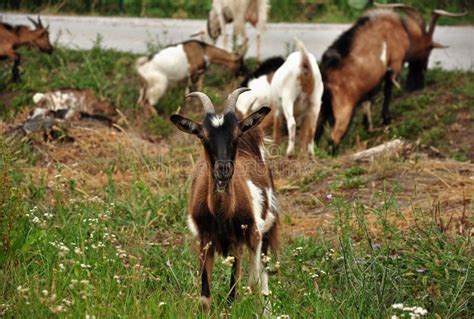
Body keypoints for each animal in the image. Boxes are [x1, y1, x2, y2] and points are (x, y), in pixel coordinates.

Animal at [169, 89, 278, 314]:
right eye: (203, 136)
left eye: (236, 134)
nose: (223, 170)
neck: (221, 215)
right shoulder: (205, 240)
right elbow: (205, 297)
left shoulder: (241, 240)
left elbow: (234, 293)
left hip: (263, 231)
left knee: (261, 275)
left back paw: (266, 310)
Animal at [312, 3, 464, 151]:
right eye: (427, 51)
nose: (417, 85)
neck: (403, 30)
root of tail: (325, 74)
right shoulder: (394, 64)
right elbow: (388, 90)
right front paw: (386, 120)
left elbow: (370, 99)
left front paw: (368, 126)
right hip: (344, 110)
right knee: (333, 140)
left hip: (321, 107)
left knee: (315, 137)